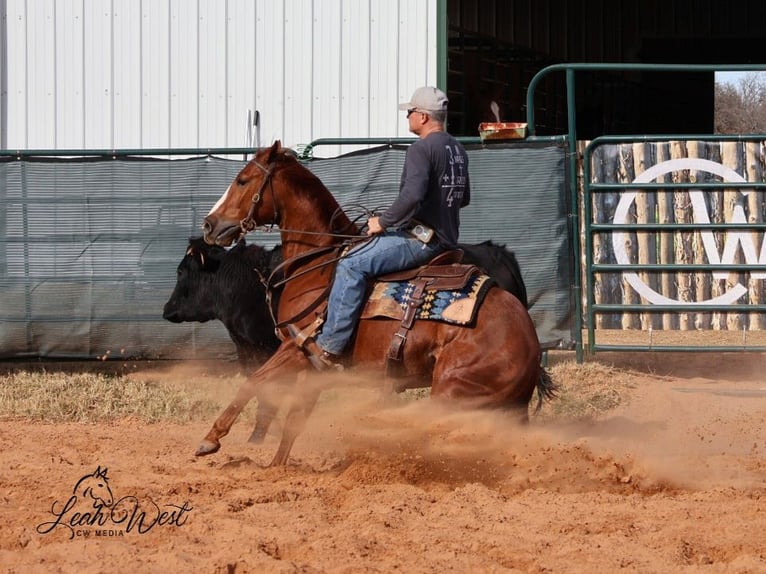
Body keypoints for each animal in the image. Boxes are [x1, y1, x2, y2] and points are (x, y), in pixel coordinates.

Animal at [197, 141, 556, 466]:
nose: (209, 225)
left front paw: (210, 440)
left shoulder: (297, 347)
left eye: (242, 180)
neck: (320, 263)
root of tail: (530, 346)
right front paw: (275, 467)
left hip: (453, 390)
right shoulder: (311, 367)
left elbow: (253, 382)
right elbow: (296, 417)